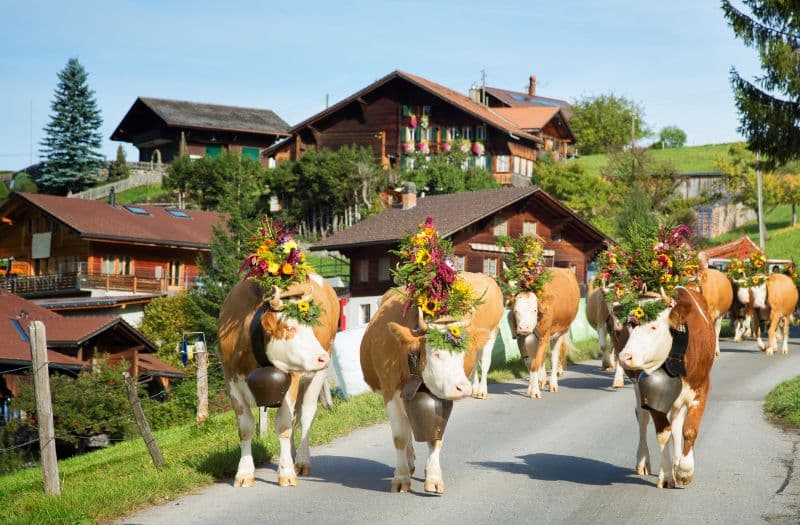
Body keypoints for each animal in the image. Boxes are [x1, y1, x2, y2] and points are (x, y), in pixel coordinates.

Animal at [216, 274, 338, 488]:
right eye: (289, 327)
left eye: (311, 326)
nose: (322, 357)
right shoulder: (231, 381)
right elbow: (245, 429)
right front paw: (244, 473)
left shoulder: (292, 379)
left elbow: (283, 426)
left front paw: (287, 472)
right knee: (296, 417)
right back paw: (291, 455)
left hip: (316, 376)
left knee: (306, 415)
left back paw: (301, 461)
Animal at [360, 270, 504, 492]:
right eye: (436, 354)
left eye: (463, 353)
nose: (463, 388)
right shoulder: (390, 393)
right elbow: (400, 438)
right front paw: (401, 477)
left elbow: (435, 438)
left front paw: (434, 477)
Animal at [512, 266, 580, 398]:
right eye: (516, 310)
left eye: (534, 310)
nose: (524, 327)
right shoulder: (521, 338)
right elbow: (530, 363)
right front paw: (532, 387)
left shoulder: (544, 336)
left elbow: (536, 363)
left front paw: (535, 391)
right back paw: (542, 380)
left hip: (560, 333)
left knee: (554, 357)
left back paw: (553, 384)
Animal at [616, 286, 716, 488]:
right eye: (630, 324)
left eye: (654, 326)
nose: (625, 357)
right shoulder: (653, 392)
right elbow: (663, 433)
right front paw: (668, 475)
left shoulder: (701, 388)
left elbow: (689, 430)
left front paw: (684, 470)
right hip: (638, 387)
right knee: (642, 417)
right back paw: (643, 460)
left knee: (677, 422)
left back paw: (678, 461)